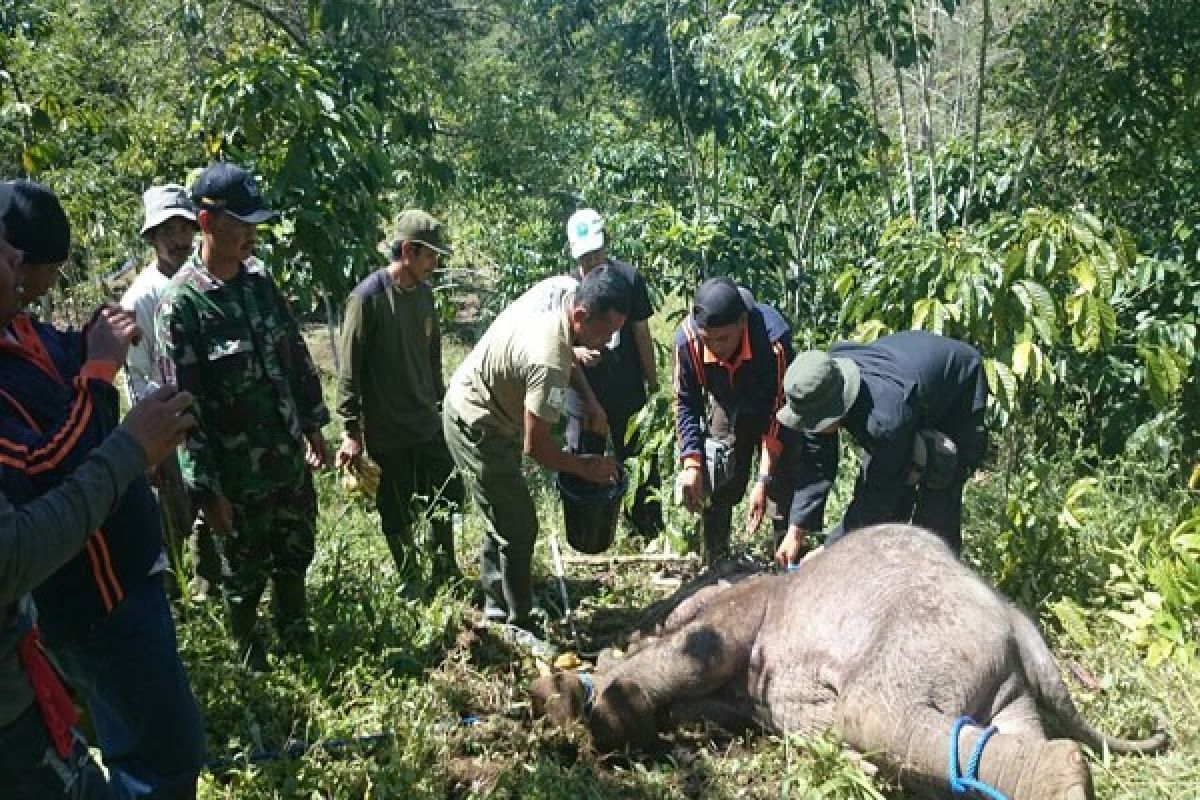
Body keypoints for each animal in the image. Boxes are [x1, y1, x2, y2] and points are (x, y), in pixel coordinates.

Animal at [532, 525, 1161, 800]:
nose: (625, 631)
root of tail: (1018, 623)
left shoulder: (753, 605)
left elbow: (703, 651)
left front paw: (580, 702)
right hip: (1003, 680)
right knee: (1005, 727)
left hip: (928, 633)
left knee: (875, 715)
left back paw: (1064, 778)